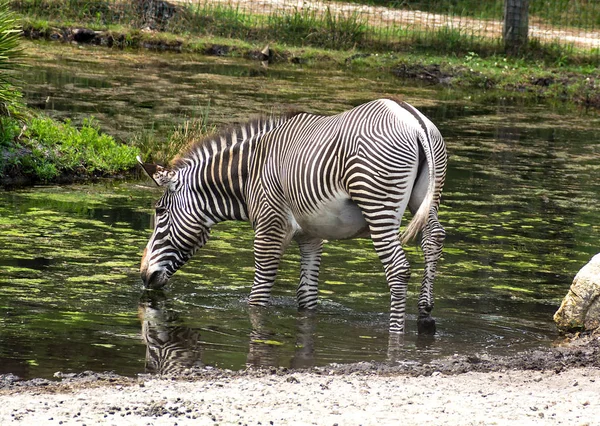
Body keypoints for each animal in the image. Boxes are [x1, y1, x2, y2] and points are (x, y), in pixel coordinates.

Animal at [139, 98, 446, 334]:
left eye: (160, 212)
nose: (143, 276)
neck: (251, 171)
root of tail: (412, 120)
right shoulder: (311, 237)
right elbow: (306, 297)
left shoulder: (269, 228)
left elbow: (259, 293)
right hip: (427, 199)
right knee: (434, 239)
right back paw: (425, 315)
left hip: (378, 205)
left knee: (398, 268)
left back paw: (396, 331)